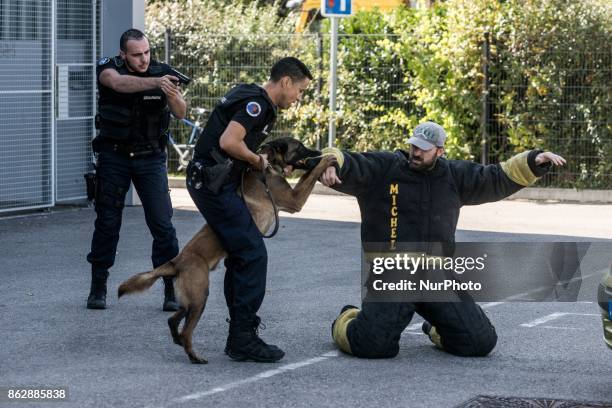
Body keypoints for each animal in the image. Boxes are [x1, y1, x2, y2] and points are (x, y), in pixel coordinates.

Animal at [86, 28, 186, 310]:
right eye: (136, 53)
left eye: (146, 53)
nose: (144, 61)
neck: (137, 71)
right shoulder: (105, 70)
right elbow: (118, 79)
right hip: (112, 179)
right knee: (107, 221)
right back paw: (97, 292)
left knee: (161, 225)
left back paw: (171, 297)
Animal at [115, 138, 334, 364]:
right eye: (300, 147)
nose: (318, 152)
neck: (268, 166)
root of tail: (177, 261)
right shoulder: (294, 199)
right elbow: (311, 175)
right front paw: (327, 160)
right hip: (200, 297)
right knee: (187, 331)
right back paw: (195, 357)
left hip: (189, 301)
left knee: (172, 320)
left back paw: (178, 340)